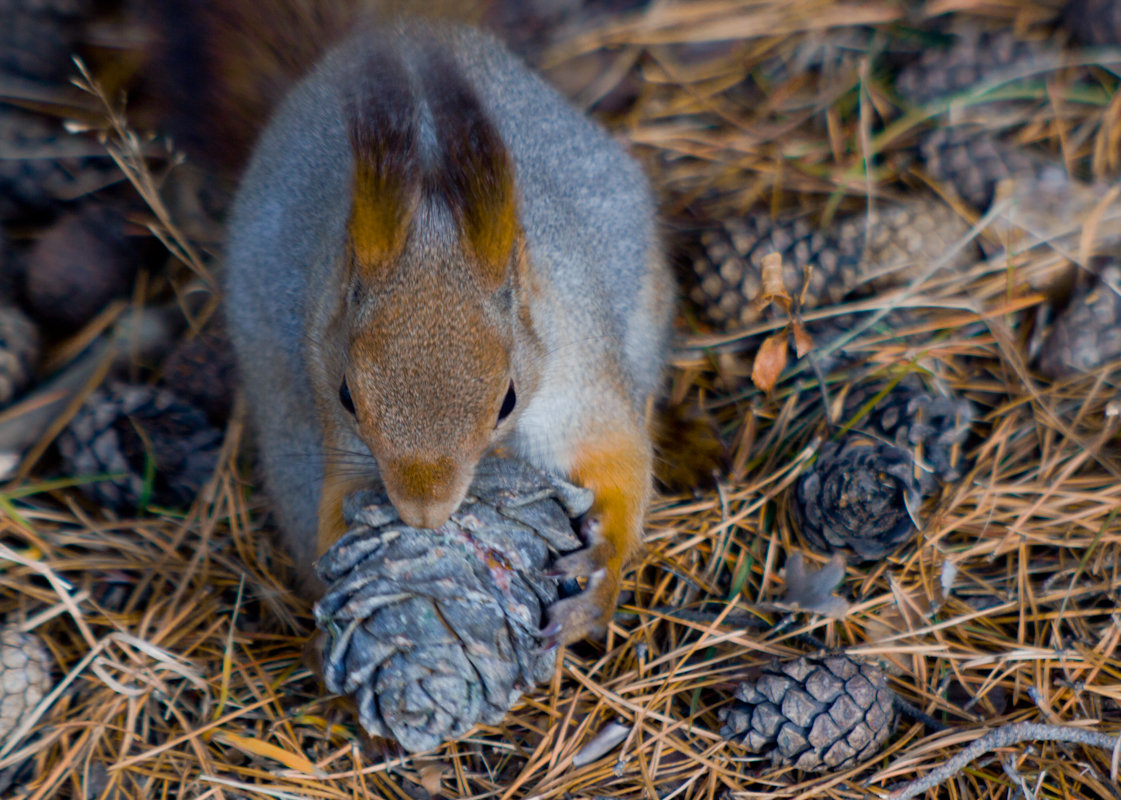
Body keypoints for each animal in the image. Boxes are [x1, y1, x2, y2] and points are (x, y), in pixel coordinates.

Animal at [163, 1, 672, 640]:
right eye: (347, 396)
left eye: (507, 400)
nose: (422, 515)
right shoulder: (337, 432)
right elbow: (336, 504)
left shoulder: (579, 373)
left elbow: (620, 459)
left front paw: (601, 572)